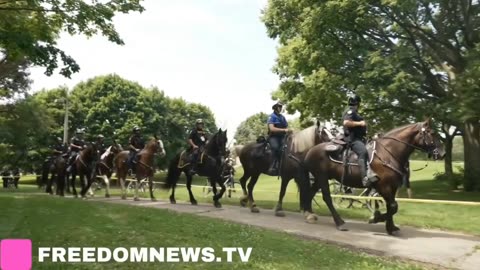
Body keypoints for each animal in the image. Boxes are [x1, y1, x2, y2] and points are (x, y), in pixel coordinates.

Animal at [302, 119, 444, 235]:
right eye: (431, 133)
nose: (442, 153)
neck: (388, 153)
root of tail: (311, 150)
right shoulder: (384, 186)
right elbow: (393, 207)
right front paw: (376, 217)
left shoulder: (391, 187)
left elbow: (391, 206)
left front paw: (391, 228)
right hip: (322, 177)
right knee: (327, 198)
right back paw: (339, 222)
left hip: (319, 179)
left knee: (310, 193)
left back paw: (309, 214)